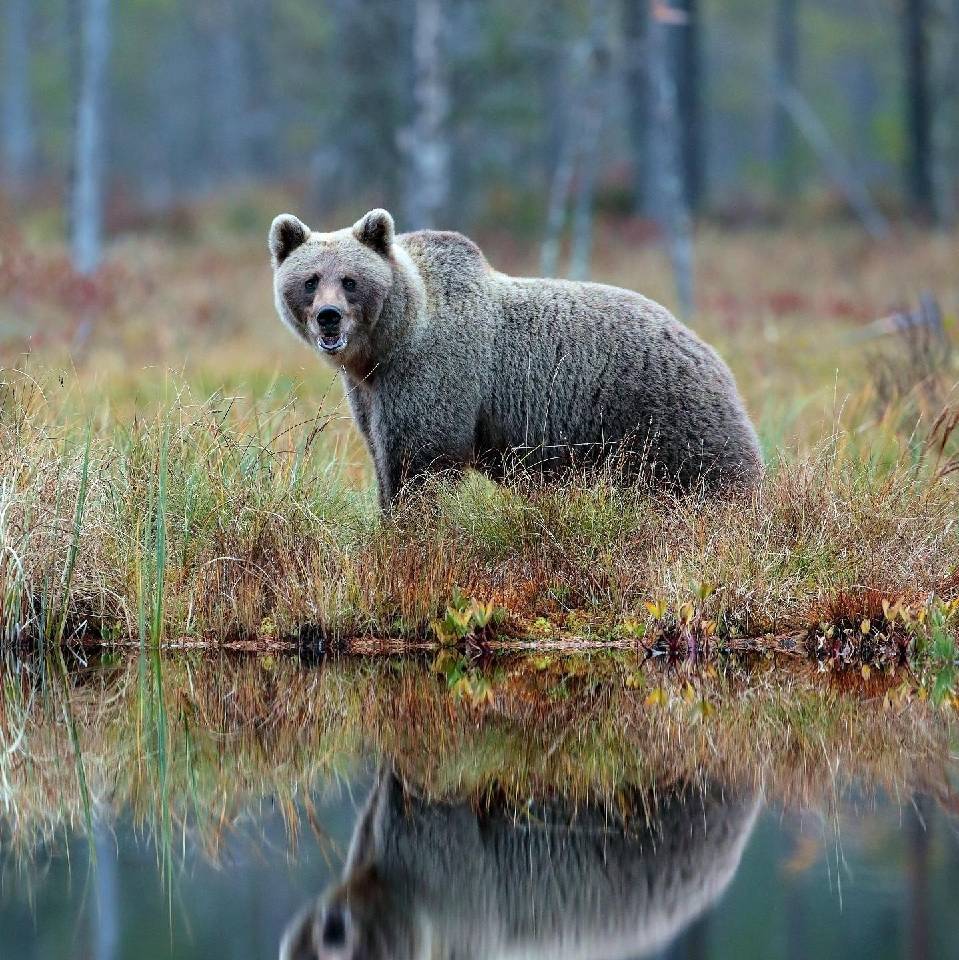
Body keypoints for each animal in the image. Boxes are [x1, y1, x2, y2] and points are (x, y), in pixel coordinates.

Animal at [266, 210, 760, 510]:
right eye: (311, 280)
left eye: (350, 280)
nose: (329, 317)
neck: (393, 341)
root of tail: (710, 352)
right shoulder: (370, 393)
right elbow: (385, 460)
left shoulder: (433, 373)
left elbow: (421, 459)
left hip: (662, 413)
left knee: (711, 479)